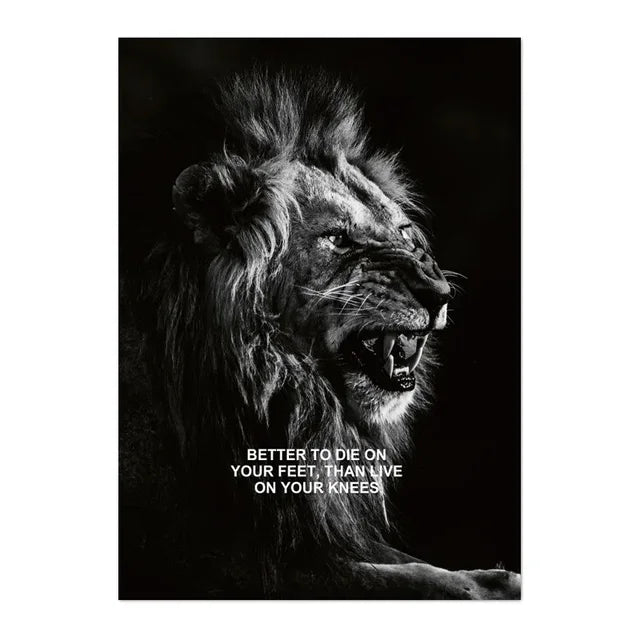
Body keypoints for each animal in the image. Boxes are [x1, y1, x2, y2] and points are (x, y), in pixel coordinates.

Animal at [119, 70, 520, 599]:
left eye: (404, 234)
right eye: (338, 239)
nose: (439, 293)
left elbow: (406, 563)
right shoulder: (228, 560)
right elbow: (406, 578)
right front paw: (488, 587)